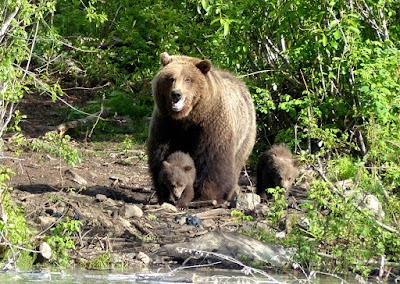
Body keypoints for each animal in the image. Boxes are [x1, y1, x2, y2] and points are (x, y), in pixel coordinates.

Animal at [148, 52, 256, 204]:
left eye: (187, 79)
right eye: (170, 78)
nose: (176, 94)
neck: (188, 118)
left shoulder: (212, 125)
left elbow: (213, 160)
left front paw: (206, 195)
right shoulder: (166, 124)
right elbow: (161, 155)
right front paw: (166, 191)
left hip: (244, 135)